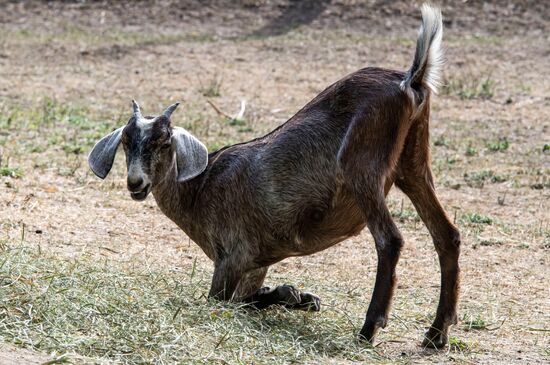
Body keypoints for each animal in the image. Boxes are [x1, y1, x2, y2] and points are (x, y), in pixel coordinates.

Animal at [89, 4, 462, 346]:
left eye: (164, 142)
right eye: (126, 142)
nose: (136, 183)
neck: (201, 189)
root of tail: (409, 81)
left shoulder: (232, 256)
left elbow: (223, 301)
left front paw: (295, 295)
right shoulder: (256, 263)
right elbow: (248, 299)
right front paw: (301, 297)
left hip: (362, 166)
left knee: (390, 239)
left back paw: (369, 330)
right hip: (412, 164)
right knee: (447, 235)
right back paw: (435, 335)